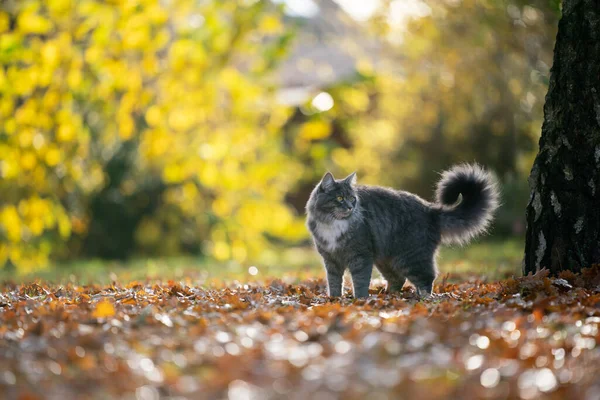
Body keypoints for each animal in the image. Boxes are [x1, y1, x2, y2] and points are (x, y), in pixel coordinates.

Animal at [308, 164, 500, 298]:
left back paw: (424, 298)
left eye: (352, 198)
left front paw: (360, 300)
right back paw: (388, 296)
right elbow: (334, 282)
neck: (332, 224)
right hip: (387, 260)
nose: (350, 207)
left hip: (411, 257)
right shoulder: (331, 259)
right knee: (398, 279)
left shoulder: (360, 256)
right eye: (340, 198)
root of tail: (430, 210)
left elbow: (360, 281)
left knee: (427, 278)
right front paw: (334, 300)